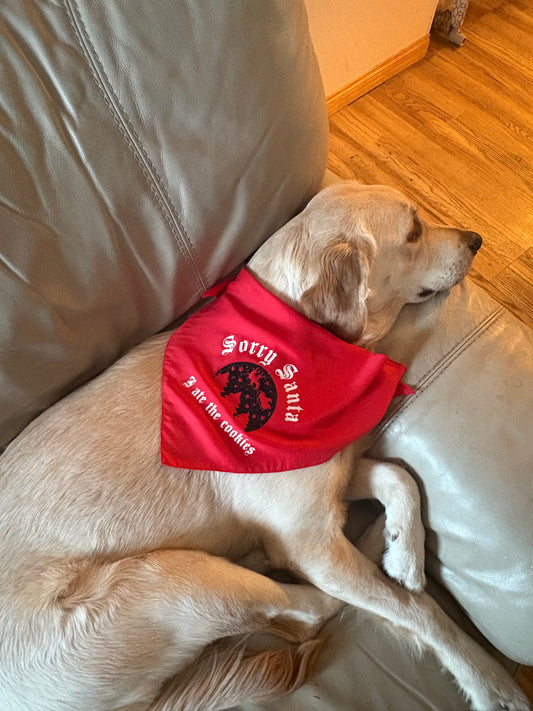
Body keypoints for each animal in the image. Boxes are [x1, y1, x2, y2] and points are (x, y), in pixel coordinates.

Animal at [0, 181, 528, 711]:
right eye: (414, 230)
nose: (476, 240)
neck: (301, 338)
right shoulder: (308, 539)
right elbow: (417, 610)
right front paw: (488, 682)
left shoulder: (328, 479)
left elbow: (399, 476)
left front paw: (406, 552)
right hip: (174, 581)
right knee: (311, 610)